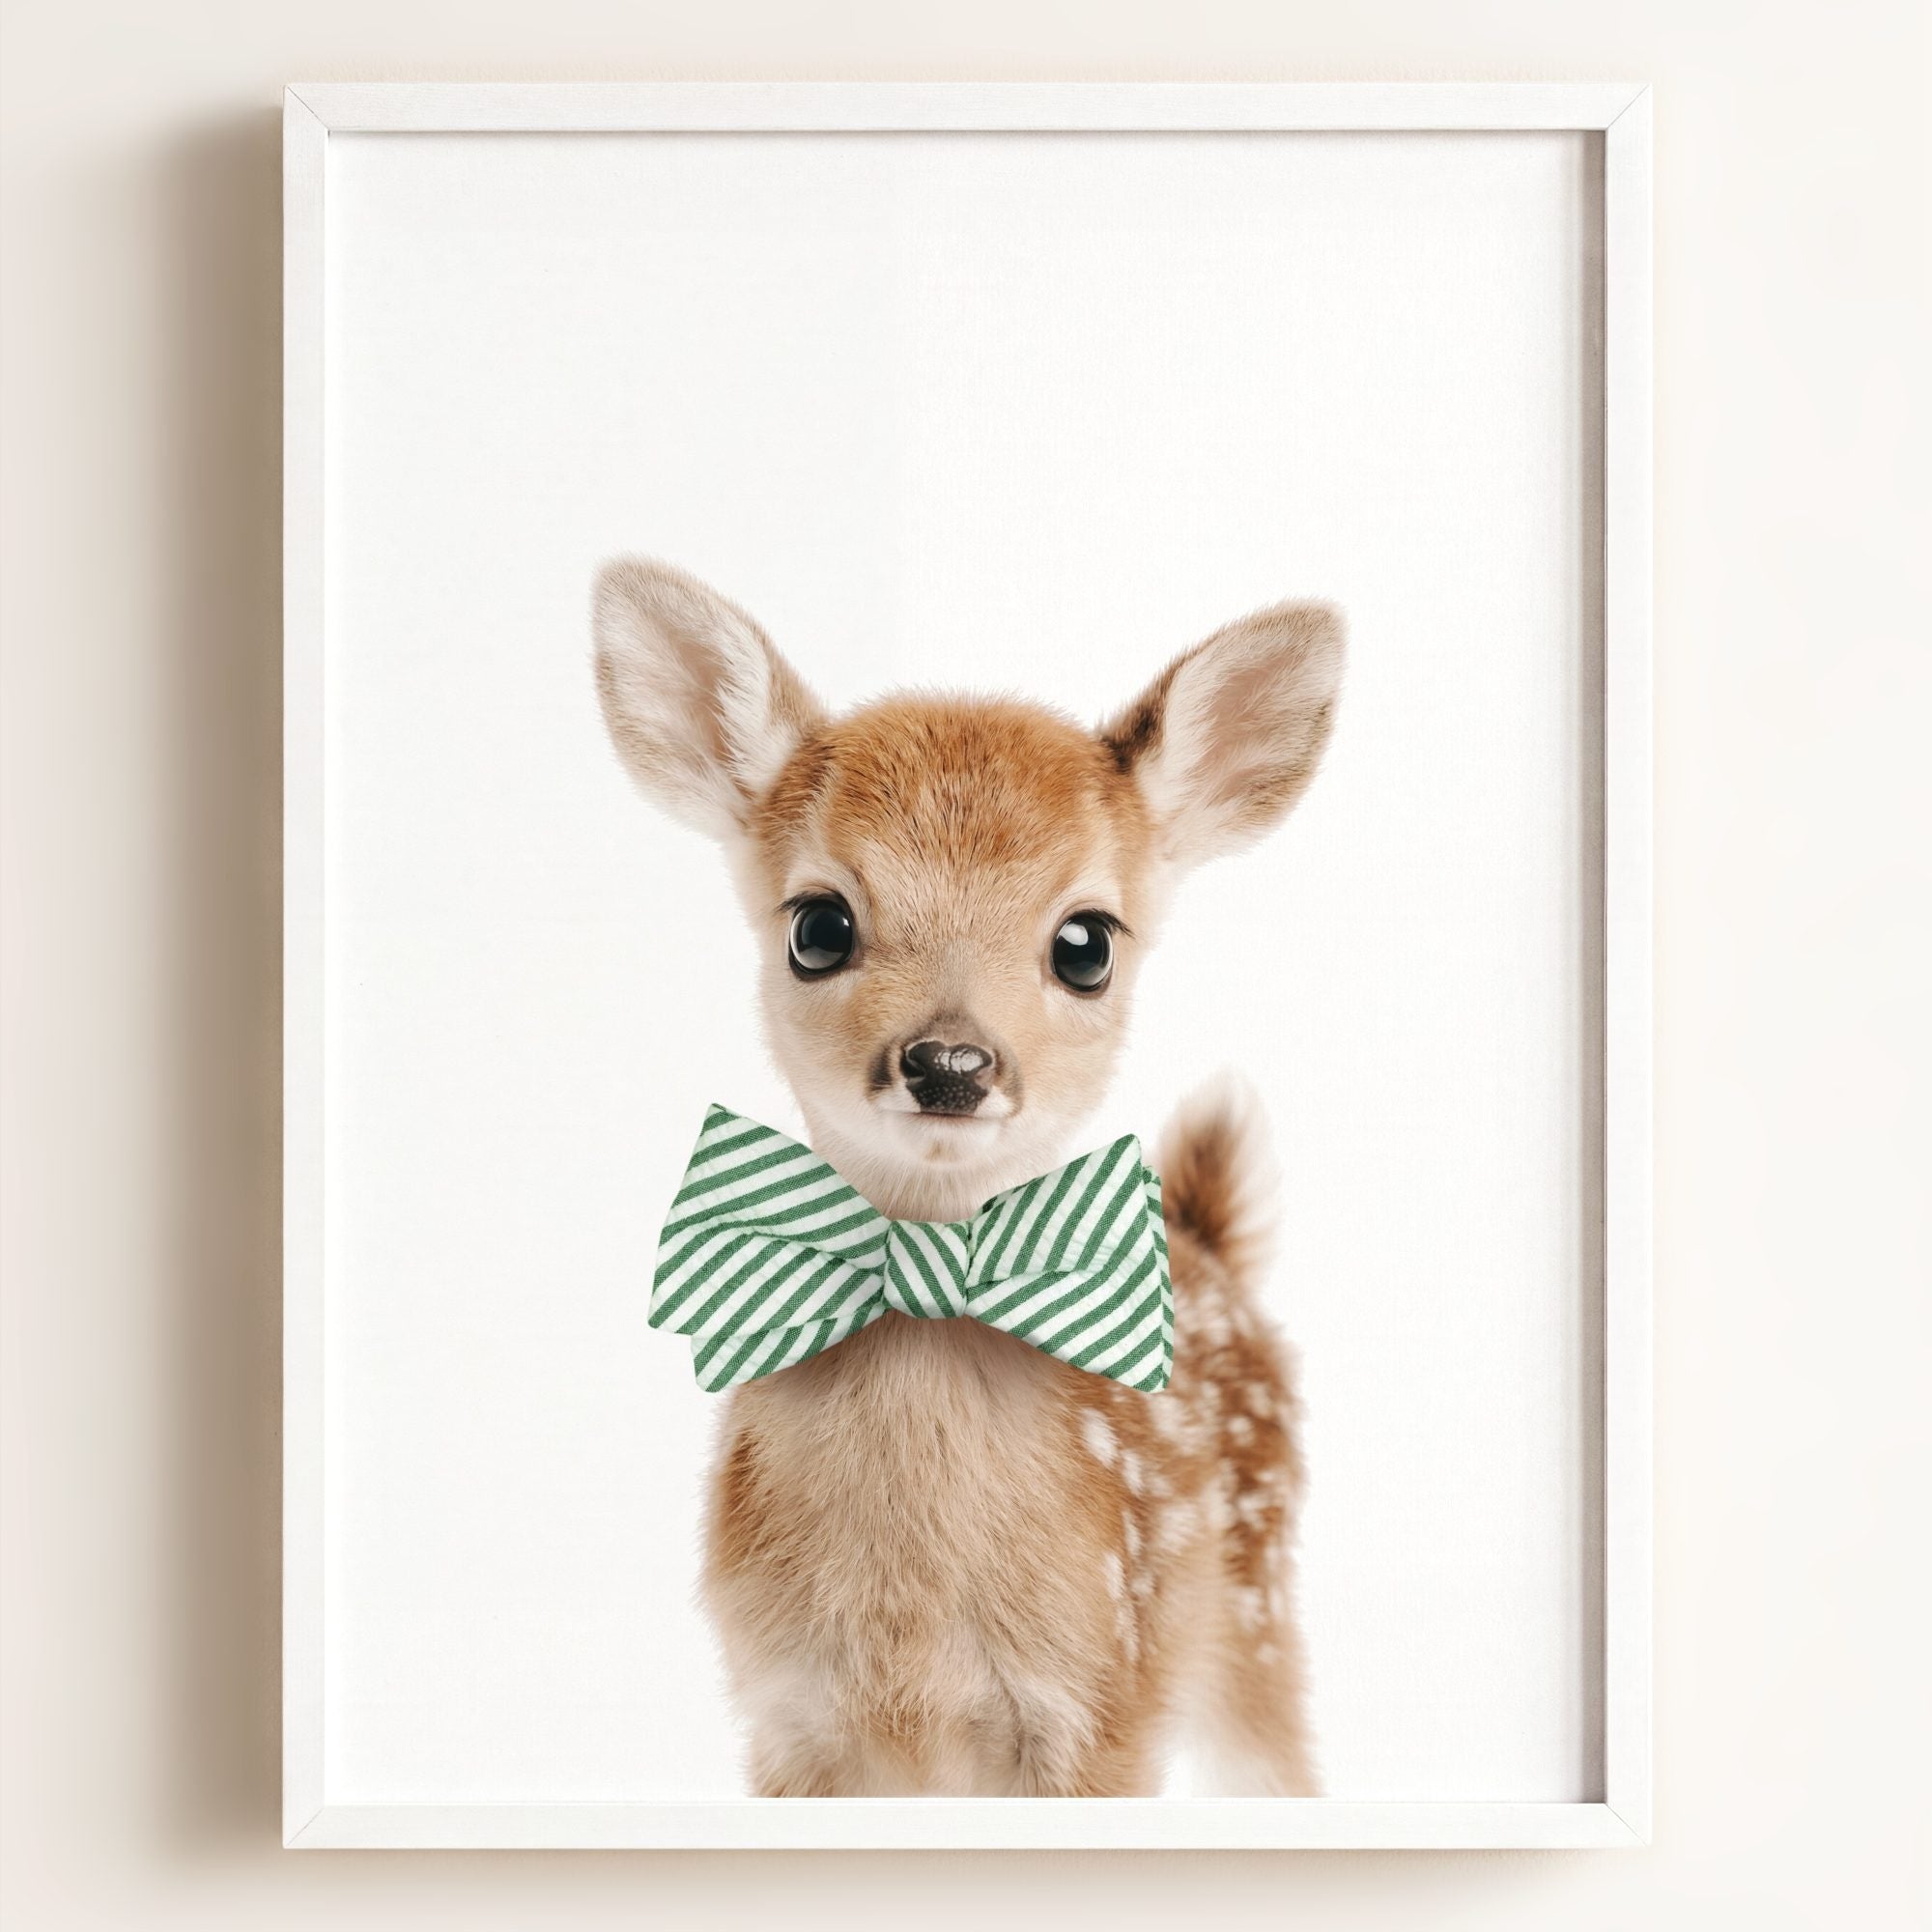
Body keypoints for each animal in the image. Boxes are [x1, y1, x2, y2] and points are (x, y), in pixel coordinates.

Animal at [593, 558, 1344, 1797]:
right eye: (817, 924)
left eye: (1085, 942)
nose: (949, 1062)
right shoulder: (784, 1717)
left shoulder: (1102, 1704)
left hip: (1258, 1614)